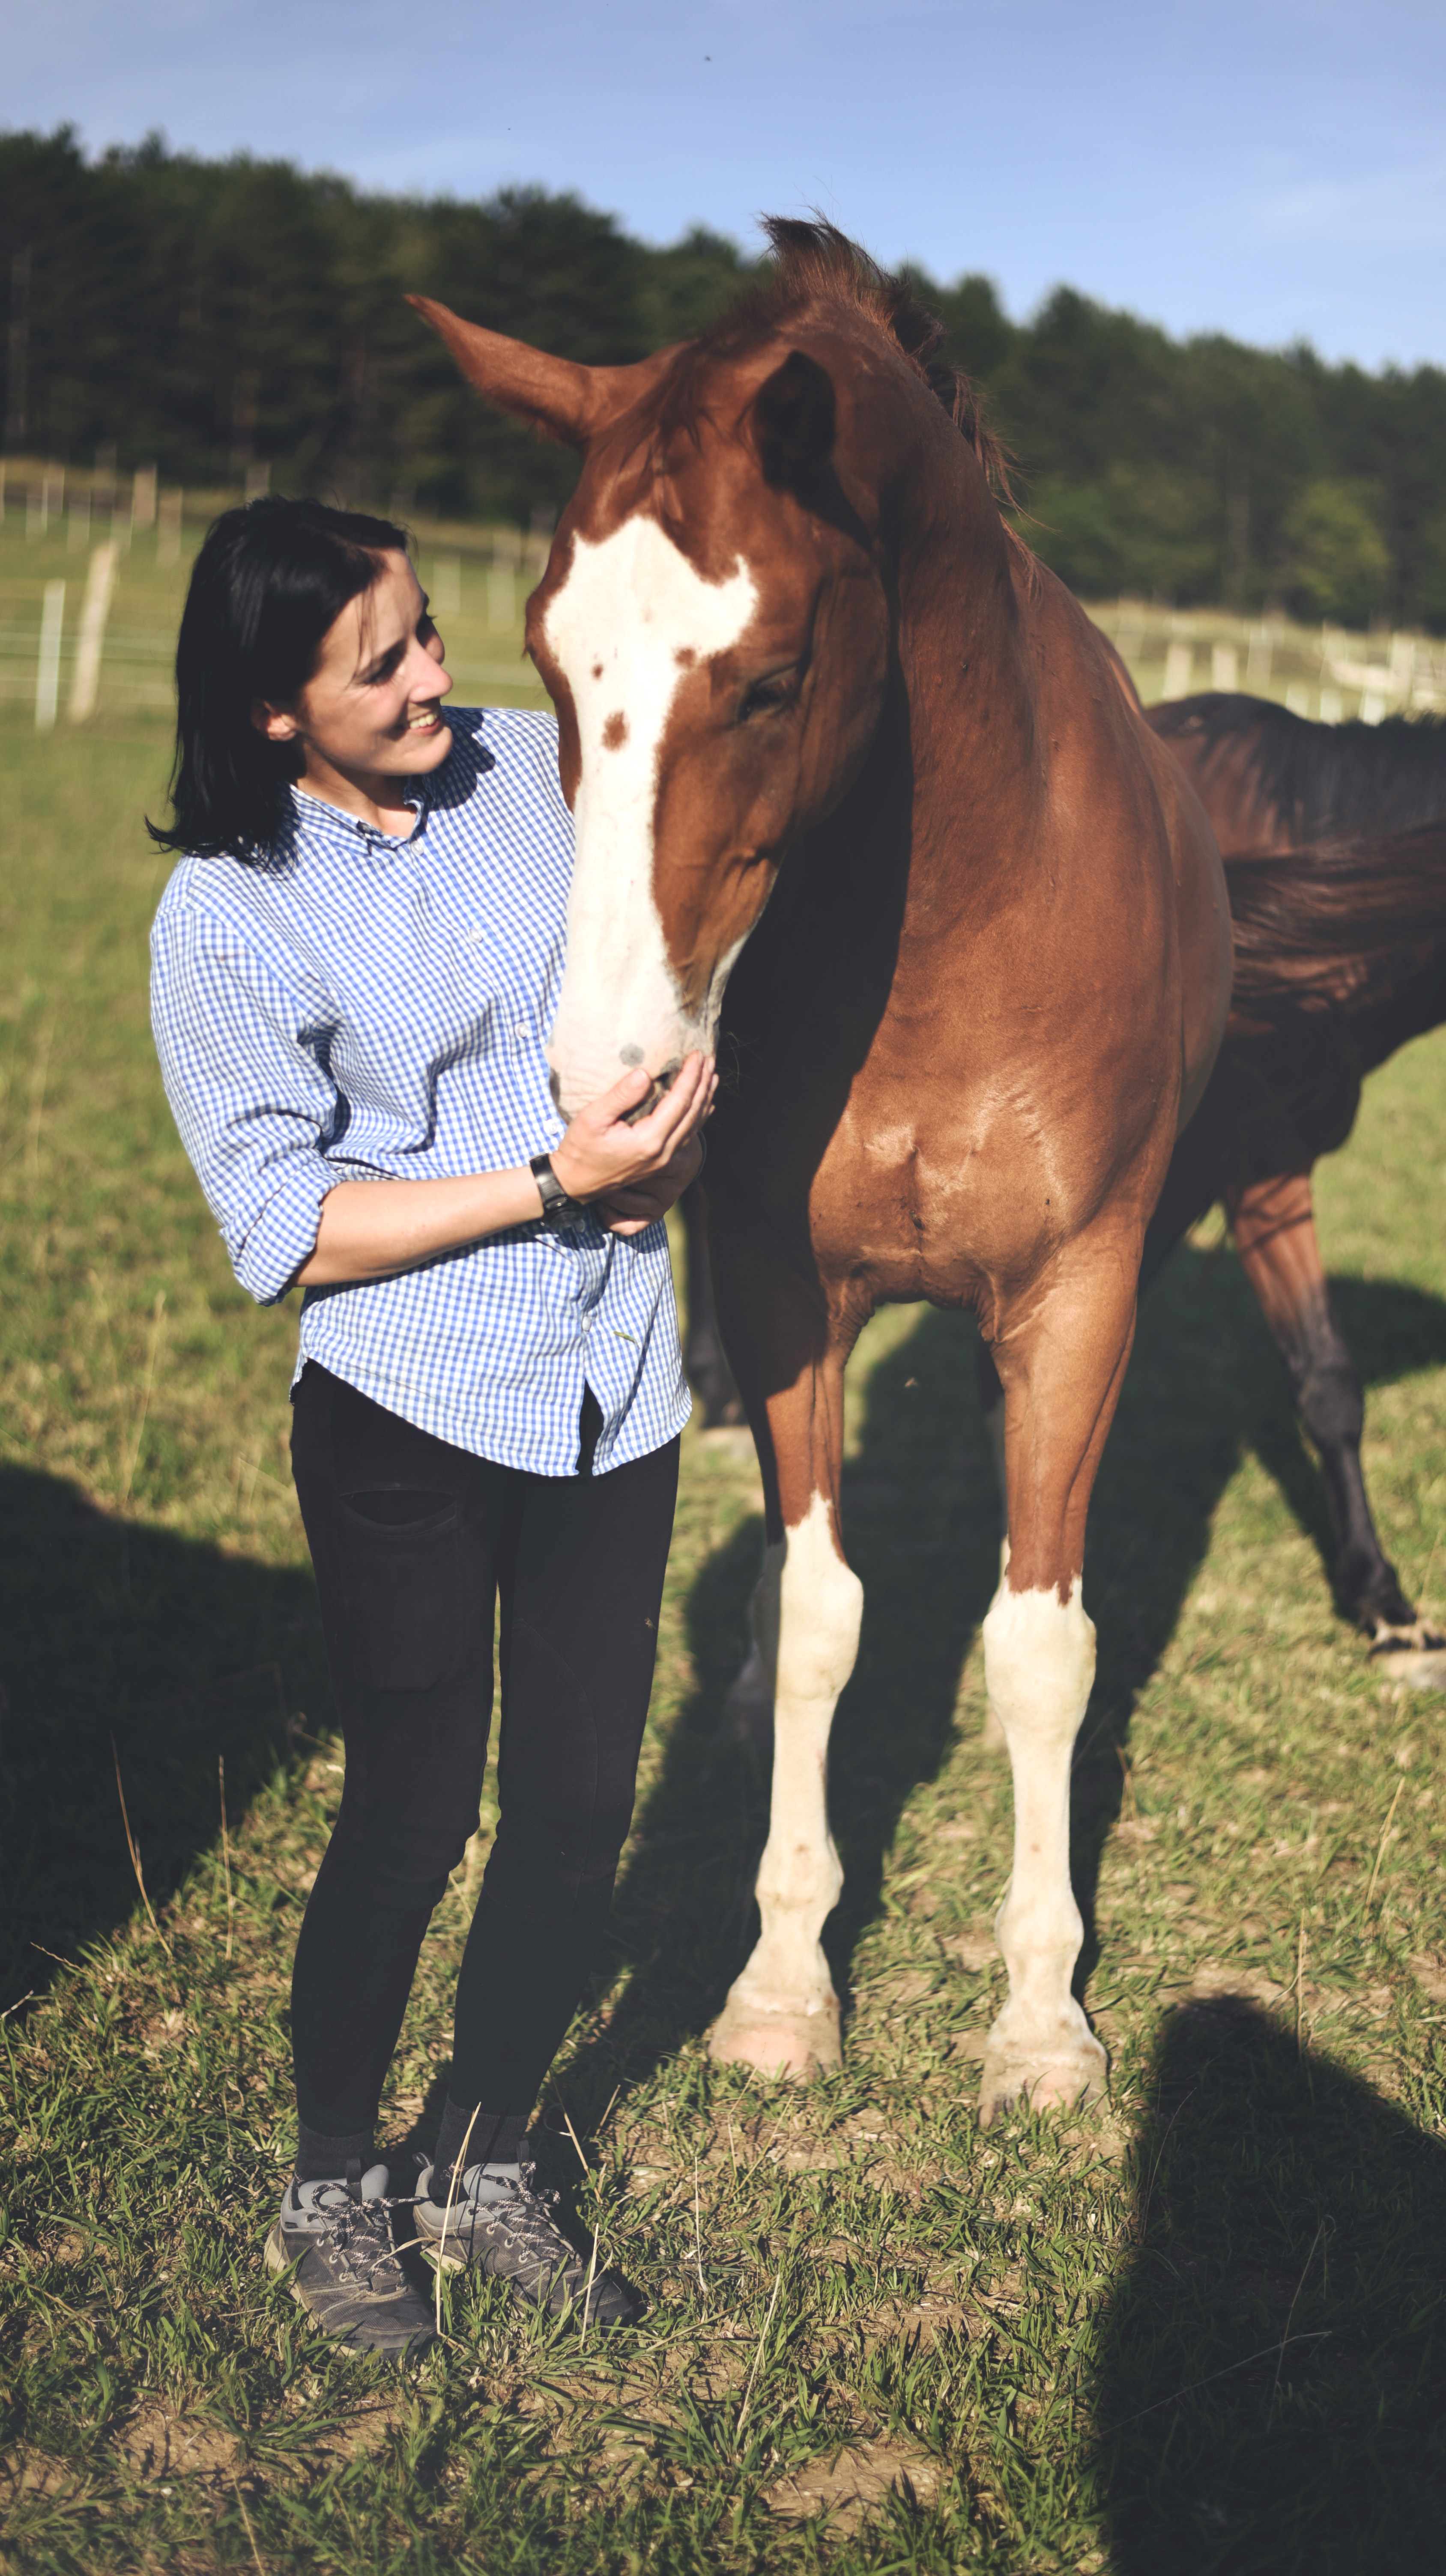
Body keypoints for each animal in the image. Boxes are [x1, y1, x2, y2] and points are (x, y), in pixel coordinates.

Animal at [409, 220, 1232, 2114]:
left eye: (771, 678)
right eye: (545, 663)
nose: (611, 1083)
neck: (951, 936)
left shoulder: (1074, 1305)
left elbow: (1038, 1643)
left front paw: (1040, 2017)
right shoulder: (793, 1298)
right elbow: (818, 1617)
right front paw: (782, 1984)